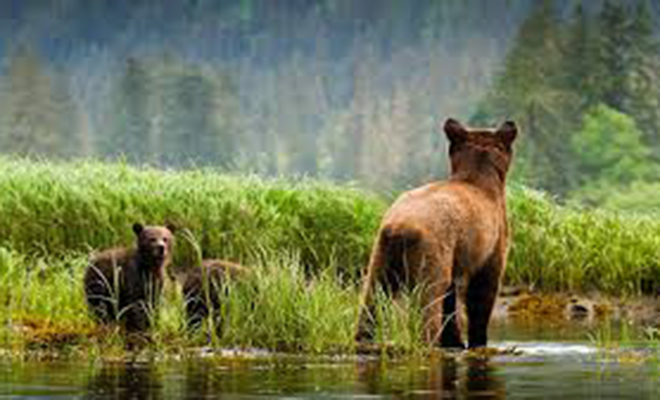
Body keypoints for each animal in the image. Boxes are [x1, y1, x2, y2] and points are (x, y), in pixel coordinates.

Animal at [354, 117, 520, 348]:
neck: (482, 181)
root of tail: (401, 227)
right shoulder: (492, 239)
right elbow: (483, 289)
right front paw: (477, 340)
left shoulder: (455, 254)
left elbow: (450, 297)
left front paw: (454, 340)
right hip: (432, 249)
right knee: (429, 297)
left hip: (382, 250)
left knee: (374, 293)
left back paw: (363, 337)